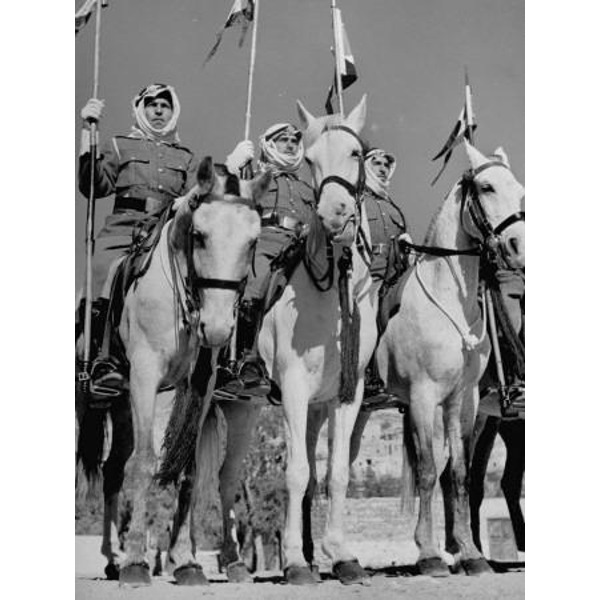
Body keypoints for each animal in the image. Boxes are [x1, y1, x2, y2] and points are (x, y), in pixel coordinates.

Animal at [76, 157, 271, 587]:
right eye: (199, 235)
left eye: (252, 242)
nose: (218, 329)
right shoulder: (146, 377)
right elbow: (146, 462)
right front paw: (136, 561)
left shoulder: (200, 384)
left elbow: (188, 471)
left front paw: (186, 562)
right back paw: (118, 558)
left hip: (123, 405)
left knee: (113, 470)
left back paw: (112, 558)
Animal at [375, 142, 525, 576]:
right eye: (487, 187)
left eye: (519, 188)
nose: (518, 246)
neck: (447, 303)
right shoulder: (423, 397)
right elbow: (428, 471)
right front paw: (428, 554)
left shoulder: (463, 401)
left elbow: (457, 474)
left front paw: (471, 554)